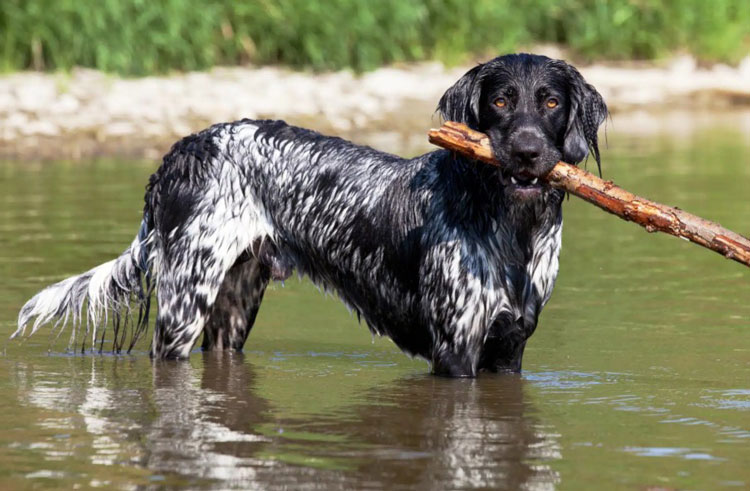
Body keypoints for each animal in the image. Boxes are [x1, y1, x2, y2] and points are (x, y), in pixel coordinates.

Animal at [11, 52, 608, 376]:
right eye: (501, 101)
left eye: (551, 102)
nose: (528, 152)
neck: (513, 229)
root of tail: (179, 152)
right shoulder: (456, 347)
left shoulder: (509, 349)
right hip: (184, 305)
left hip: (233, 308)